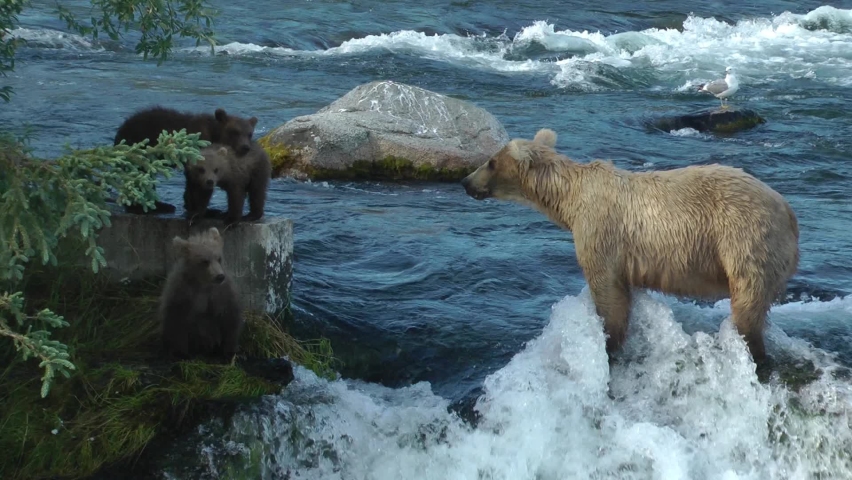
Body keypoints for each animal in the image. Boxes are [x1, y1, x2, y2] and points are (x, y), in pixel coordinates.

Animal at [113, 106, 259, 215]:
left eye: (249, 133)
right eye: (235, 132)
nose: (245, 147)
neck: (214, 135)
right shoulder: (197, 149)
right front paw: (206, 209)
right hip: (140, 148)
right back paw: (153, 207)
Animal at [159, 227, 244, 361]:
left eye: (219, 258)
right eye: (205, 261)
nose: (220, 276)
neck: (203, 284)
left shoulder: (221, 294)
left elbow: (230, 318)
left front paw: (230, 351)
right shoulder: (182, 293)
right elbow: (176, 320)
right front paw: (179, 352)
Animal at [460, 128, 799, 362]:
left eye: (490, 162)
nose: (465, 182)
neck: (569, 201)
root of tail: (788, 211)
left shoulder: (600, 233)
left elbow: (608, 292)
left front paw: (608, 342)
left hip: (744, 238)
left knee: (747, 301)